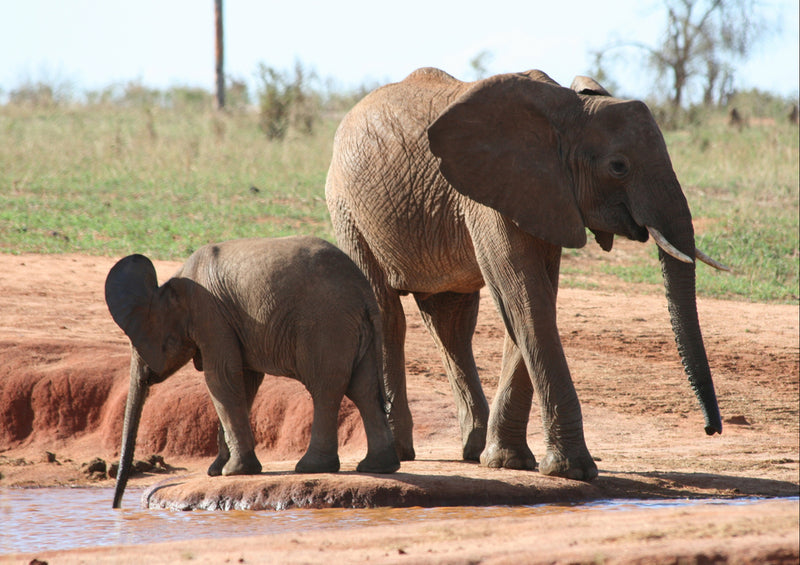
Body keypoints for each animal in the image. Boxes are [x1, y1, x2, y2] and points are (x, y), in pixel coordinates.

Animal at [108, 234, 400, 506]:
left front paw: (232, 472)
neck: (171, 284)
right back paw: (378, 467)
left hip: (326, 323)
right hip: (355, 327)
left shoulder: (209, 314)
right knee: (363, 389)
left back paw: (312, 468)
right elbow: (243, 382)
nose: (116, 506)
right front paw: (217, 471)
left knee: (326, 388)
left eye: (140, 343)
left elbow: (221, 379)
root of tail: (364, 290)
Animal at [324, 67, 724, 480]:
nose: (711, 429)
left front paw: (506, 461)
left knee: (451, 325)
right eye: (618, 167)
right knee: (387, 312)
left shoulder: (544, 197)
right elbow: (525, 299)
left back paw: (472, 450)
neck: (567, 112)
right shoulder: (492, 197)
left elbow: (529, 303)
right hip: (347, 207)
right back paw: (400, 452)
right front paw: (570, 470)